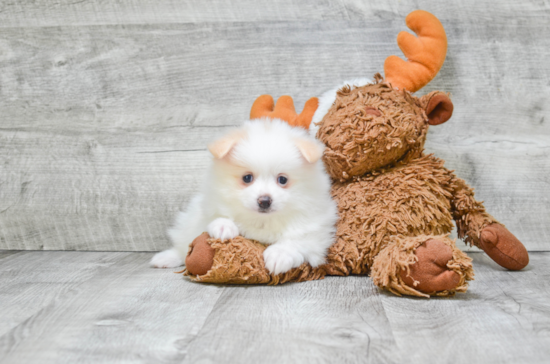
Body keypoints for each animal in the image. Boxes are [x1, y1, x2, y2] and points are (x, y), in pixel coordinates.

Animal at [152, 118, 340, 274]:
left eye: (282, 179)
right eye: (247, 178)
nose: (264, 201)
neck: (263, 221)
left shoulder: (316, 229)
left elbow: (297, 239)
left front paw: (279, 254)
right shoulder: (208, 206)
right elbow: (216, 217)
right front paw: (224, 226)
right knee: (182, 244)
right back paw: (165, 258)